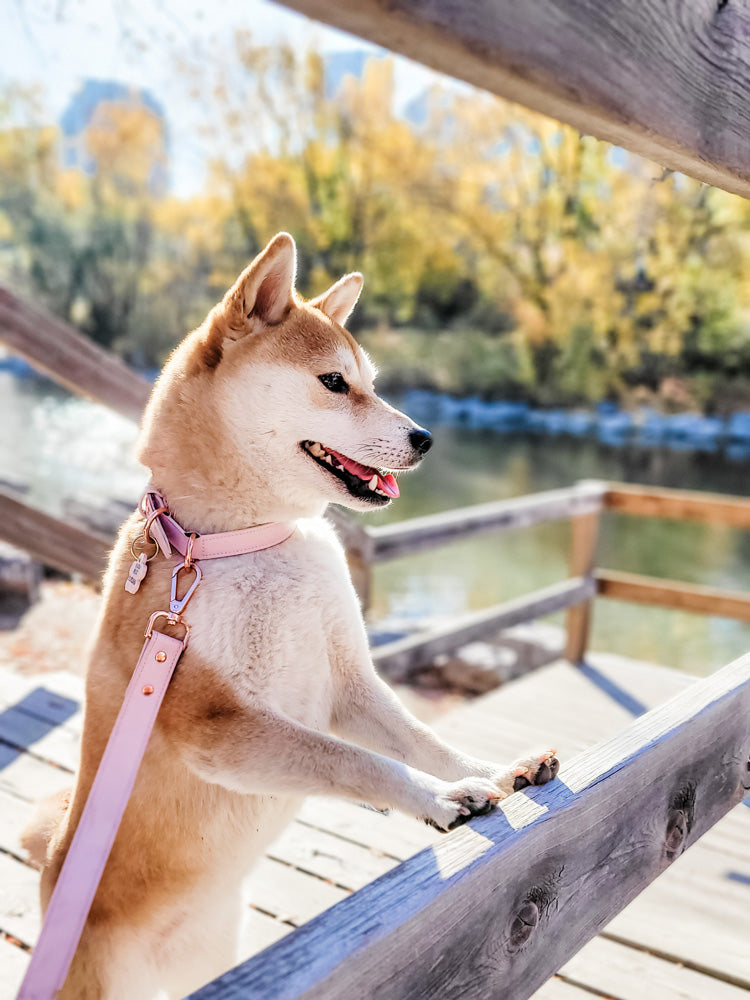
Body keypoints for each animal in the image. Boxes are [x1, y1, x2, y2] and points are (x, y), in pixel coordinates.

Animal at [25, 230, 560, 996]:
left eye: (370, 381)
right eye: (334, 383)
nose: (425, 438)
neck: (250, 538)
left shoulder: (346, 685)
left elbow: (417, 738)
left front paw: (493, 769)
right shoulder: (220, 727)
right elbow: (357, 761)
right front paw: (443, 796)